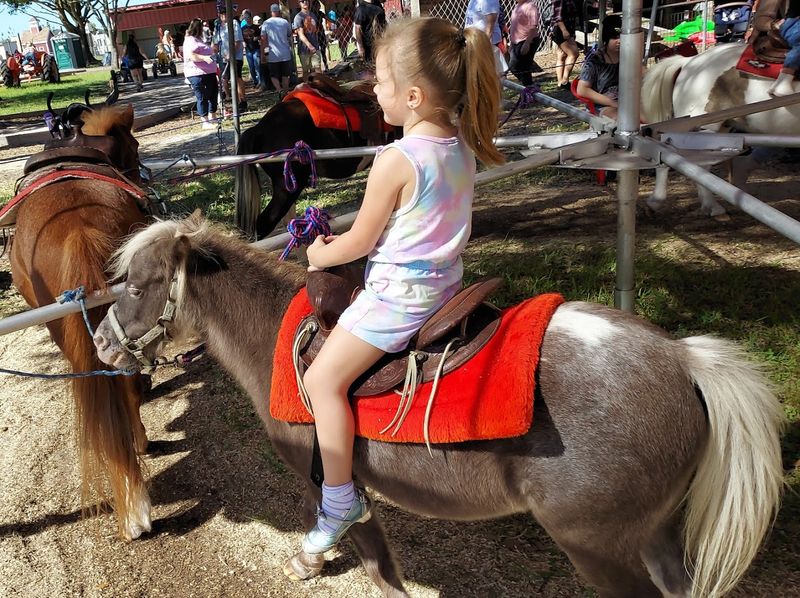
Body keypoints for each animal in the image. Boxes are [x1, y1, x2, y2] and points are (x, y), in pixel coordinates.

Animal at [92, 213, 784, 598]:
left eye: (136, 283)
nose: (100, 342)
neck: (276, 338)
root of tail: (683, 360)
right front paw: (308, 561)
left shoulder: (334, 481)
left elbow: (372, 557)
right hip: (656, 532)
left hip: (599, 548)